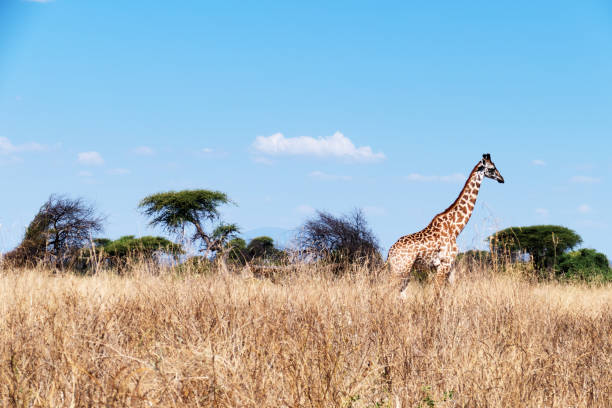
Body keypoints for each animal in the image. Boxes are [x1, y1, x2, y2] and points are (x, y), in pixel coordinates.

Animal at [390, 153, 504, 294]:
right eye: (492, 168)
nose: (502, 179)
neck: (455, 227)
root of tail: (390, 253)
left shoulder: (451, 264)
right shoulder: (444, 263)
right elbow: (437, 292)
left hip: (404, 271)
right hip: (401, 269)